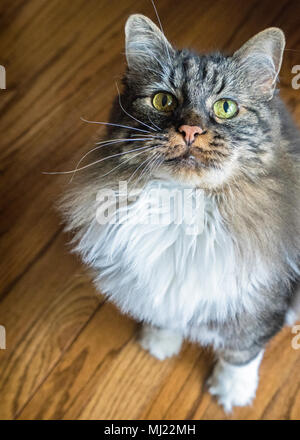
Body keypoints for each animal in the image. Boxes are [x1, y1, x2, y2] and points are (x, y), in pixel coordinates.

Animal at [60, 14, 300, 412]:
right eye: (163, 100)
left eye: (225, 107)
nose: (189, 130)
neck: (183, 204)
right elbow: (165, 315)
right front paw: (160, 343)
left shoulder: (257, 304)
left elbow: (241, 353)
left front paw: (232, 392)